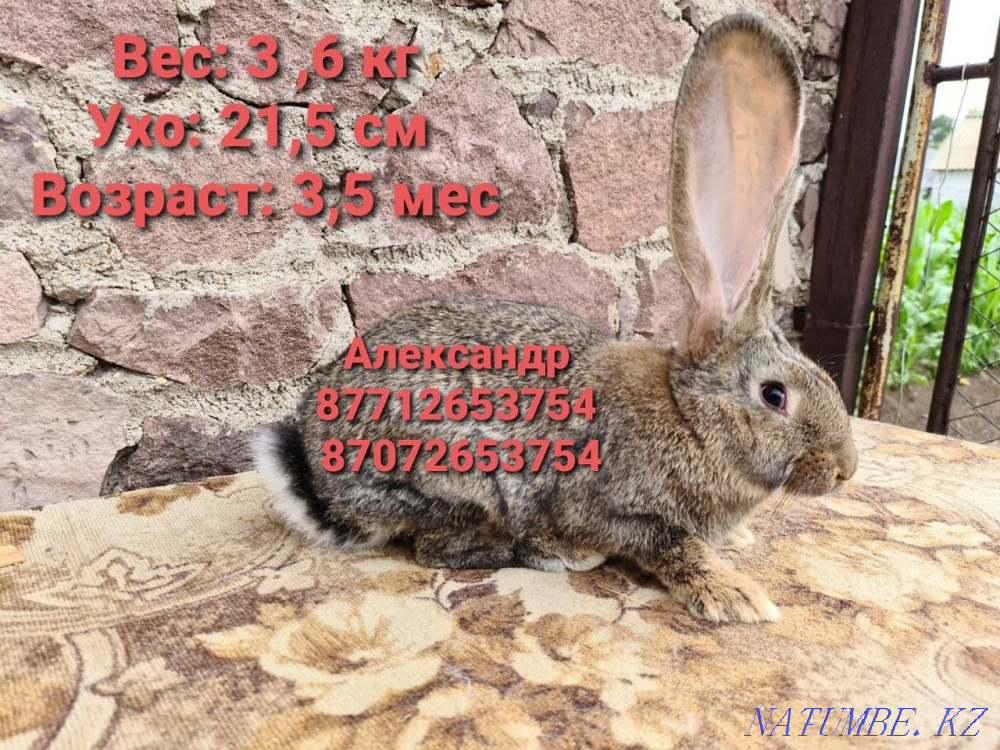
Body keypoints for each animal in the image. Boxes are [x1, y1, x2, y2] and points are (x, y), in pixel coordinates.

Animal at [254, 14, 858, 624]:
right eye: (774, 396)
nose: (846, 469)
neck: (691, 419)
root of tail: (322, 481)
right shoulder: (619, 509)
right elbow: (672, 545)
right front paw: (736, 596)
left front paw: (737, 544)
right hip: (459, 477)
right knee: (440, 547)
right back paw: (557, 553)